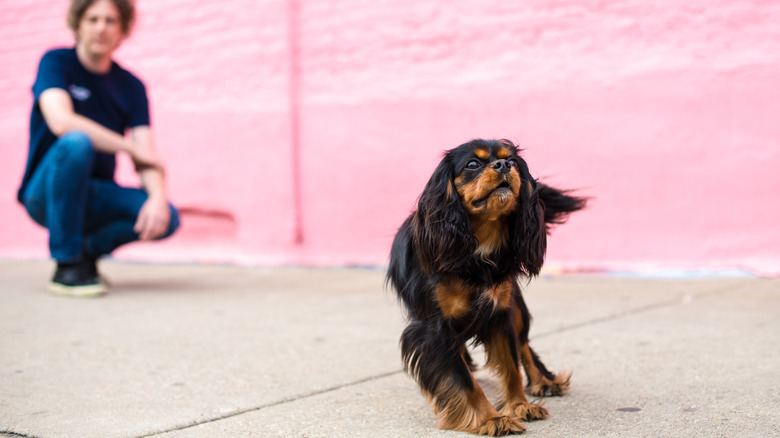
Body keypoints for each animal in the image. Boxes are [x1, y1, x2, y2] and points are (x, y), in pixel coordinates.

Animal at [386, 139, 584, 432]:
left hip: (516, 305)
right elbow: (464, 380)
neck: (478, 247)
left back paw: (544, 382)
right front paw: (491, 418)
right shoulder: (434, 328)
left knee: (524, 344)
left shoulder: (500, 313)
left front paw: (518, 405)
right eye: (472, 164)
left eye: (512, 161)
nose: (502, 165)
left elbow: (512, 366)